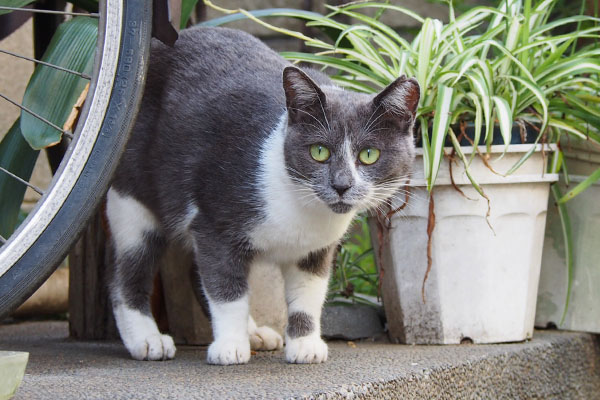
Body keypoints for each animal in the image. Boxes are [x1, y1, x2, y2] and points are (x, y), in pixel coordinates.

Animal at [105, 26, 420, 366]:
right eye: (319, 151)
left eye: (369, 154)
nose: (341, 184)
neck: (303, 210)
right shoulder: (215, 222)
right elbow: (226, 289)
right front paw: (230, 346)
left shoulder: (316, 251)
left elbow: (308, 295)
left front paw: (304, 344)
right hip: (132, 197)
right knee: (126, 272)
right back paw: (146, 339)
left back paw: (254, 333)